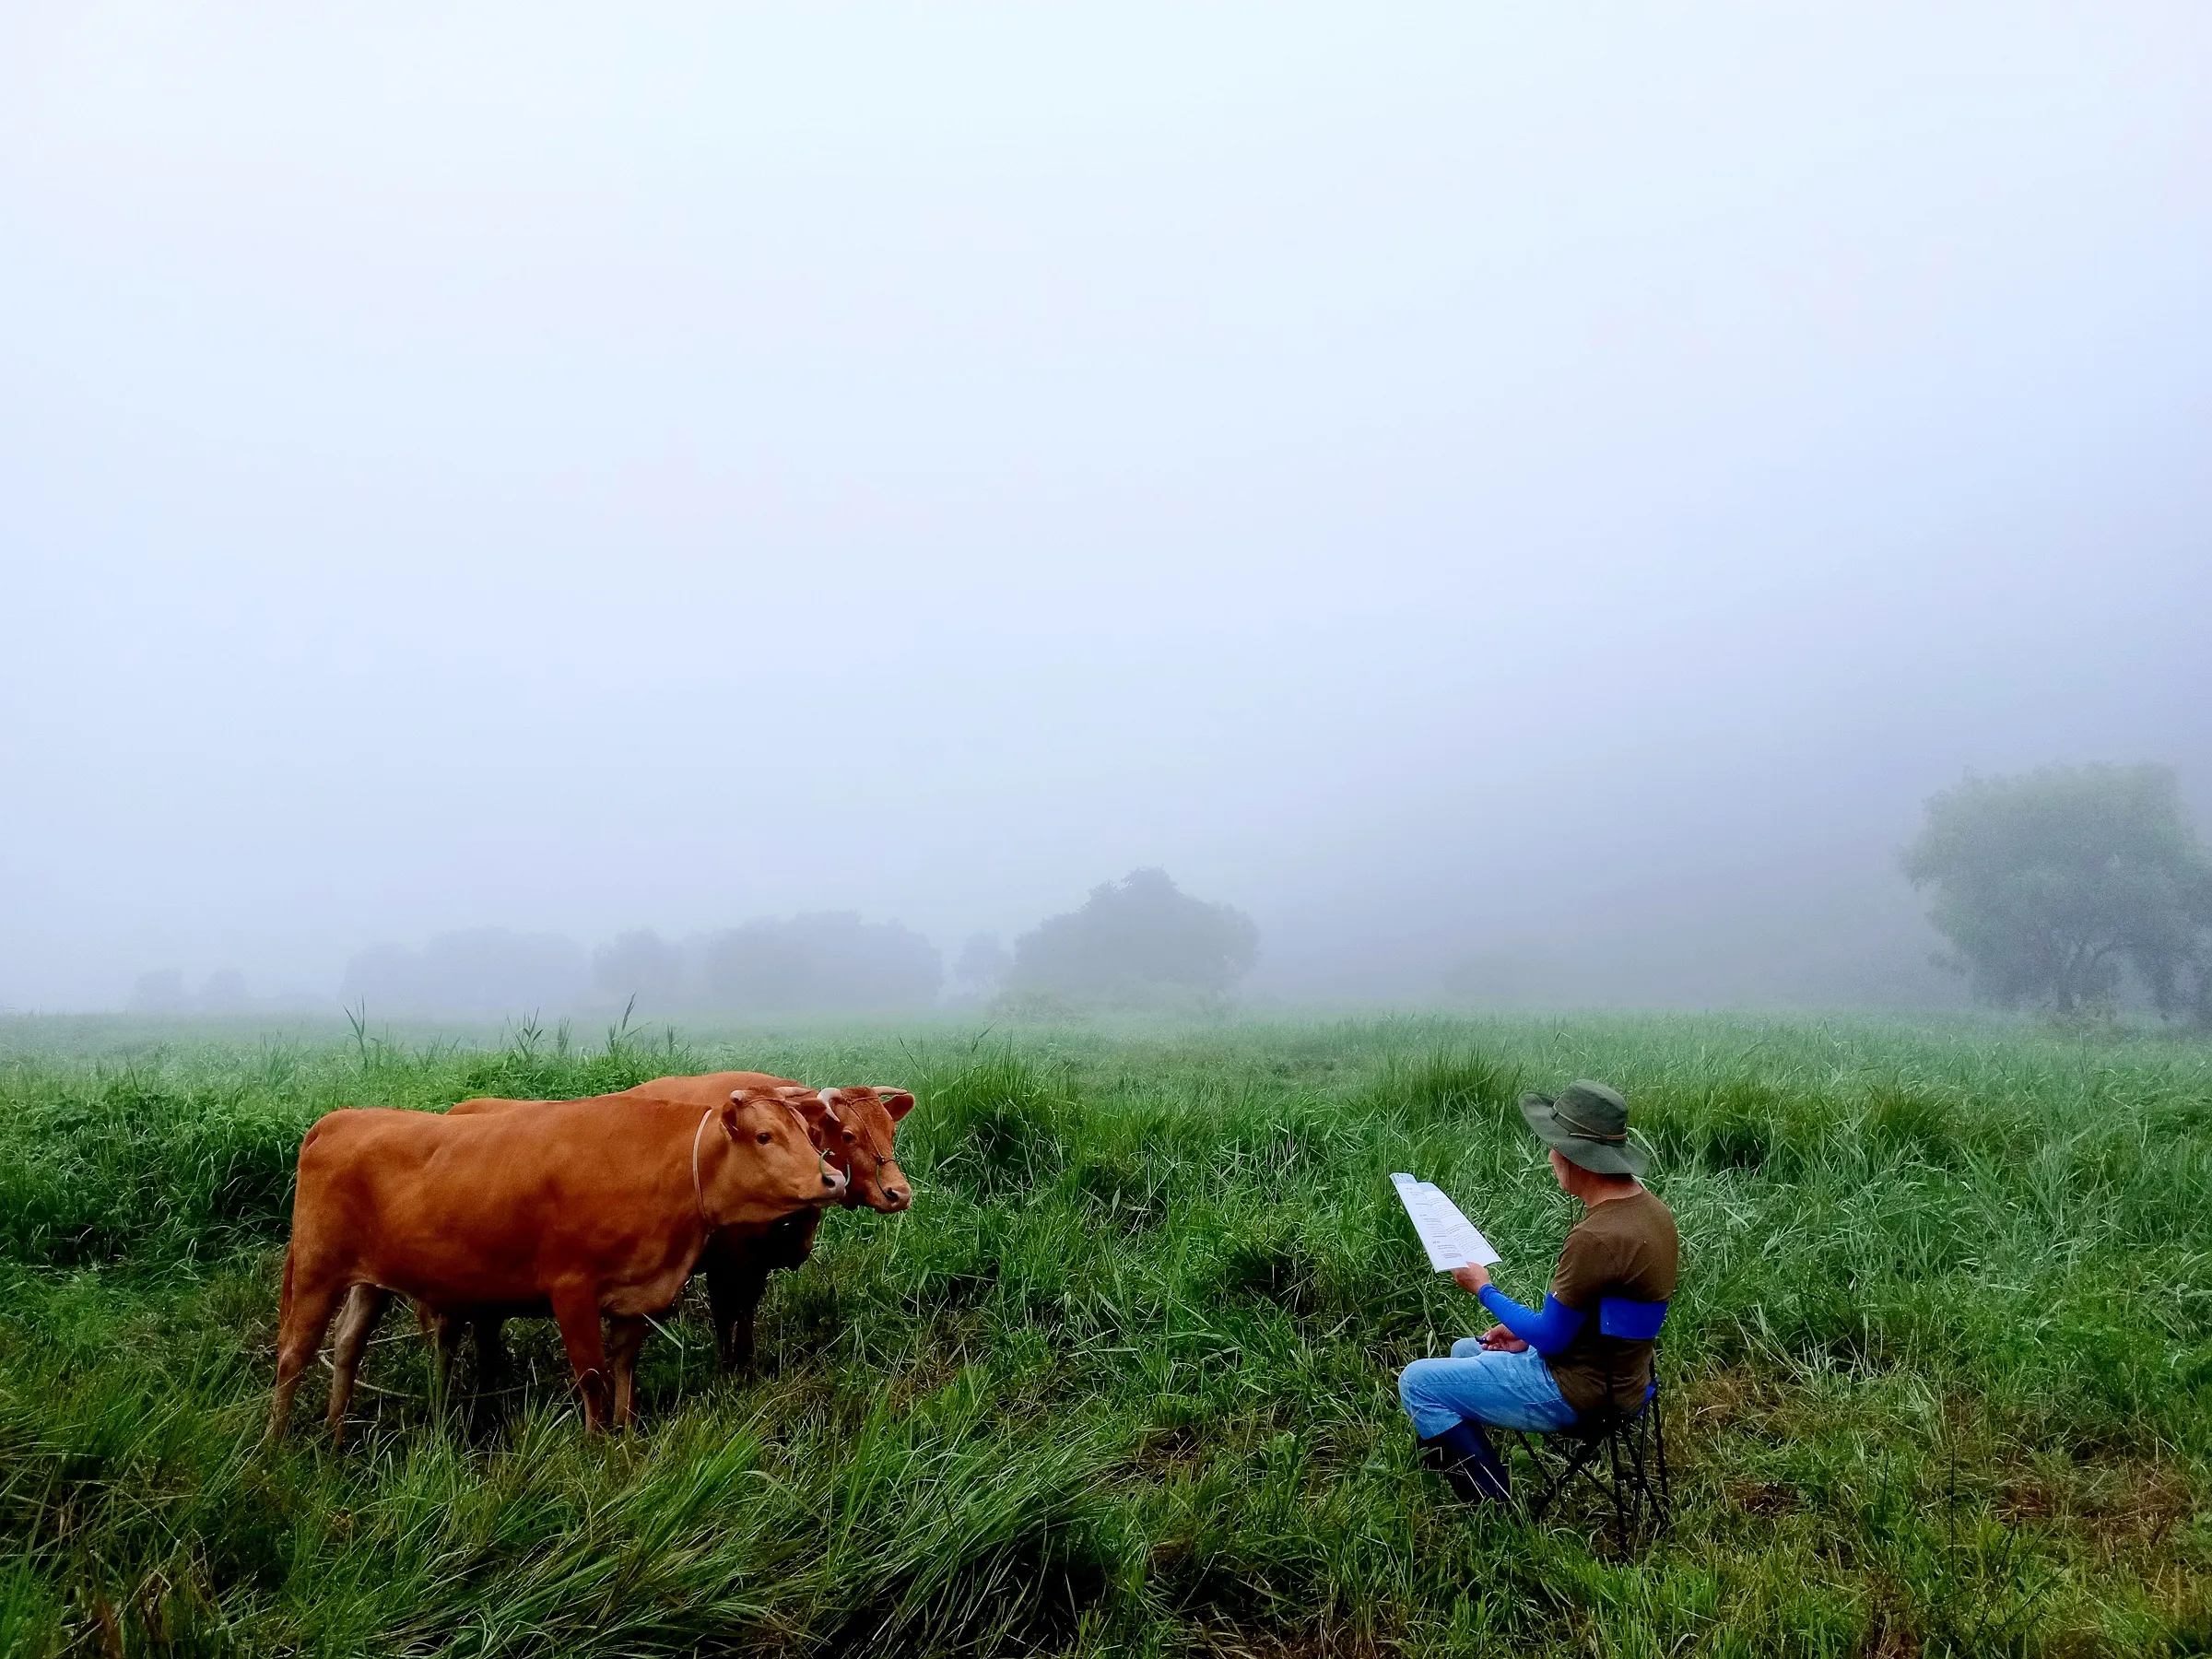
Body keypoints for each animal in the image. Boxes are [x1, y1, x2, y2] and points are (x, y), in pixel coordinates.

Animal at [267, 1084, 836, 1433]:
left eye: (809, 1135)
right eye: (764, 1136)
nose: (833, 1179)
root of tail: (341, 1118)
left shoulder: (636, 1298)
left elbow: (624, 1366)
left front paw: (626, 1430)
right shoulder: (572, 1289)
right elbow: (592, 1374)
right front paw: (597, 1444)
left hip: (370, 1280)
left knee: (347, 1347)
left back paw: (335, 1435)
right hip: (317, 1270)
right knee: (294, 1355)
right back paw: (277, 1446)